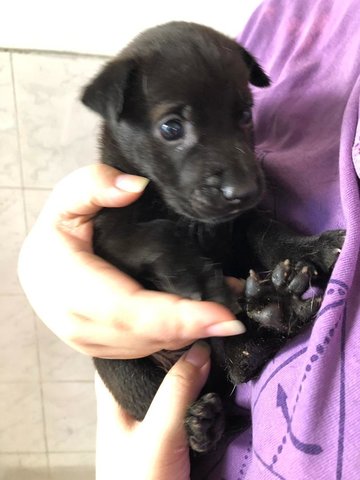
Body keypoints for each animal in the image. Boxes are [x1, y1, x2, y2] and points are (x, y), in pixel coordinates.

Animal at [81, 22, 344, 454]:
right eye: (171, 127)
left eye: (245, 114)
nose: (244, 190)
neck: (195, 224)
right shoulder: (108, 231)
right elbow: (156, 233)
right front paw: (199, 277)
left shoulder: (240, 224)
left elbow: (268, 231)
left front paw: (315, 248)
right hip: (121, 365)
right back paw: (200, 425)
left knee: (241, 359)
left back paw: (276, 309)